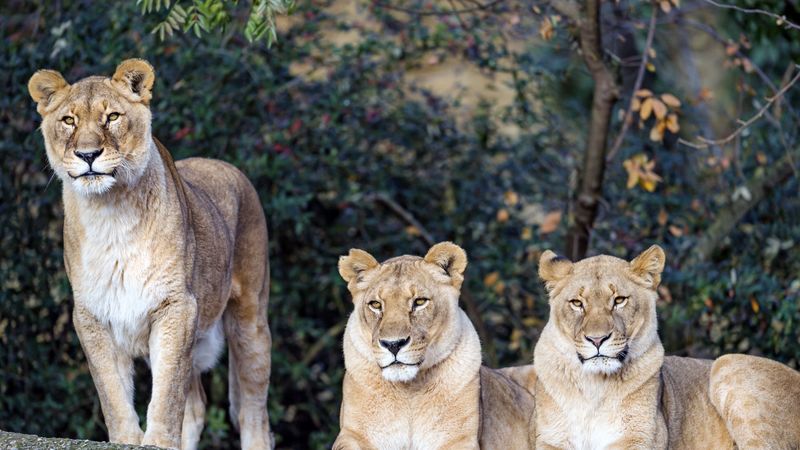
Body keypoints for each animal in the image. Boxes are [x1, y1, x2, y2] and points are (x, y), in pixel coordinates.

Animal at [27, 59, 272, 450]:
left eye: (112, 116)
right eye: (68, 121)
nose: (87, 155)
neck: (110, 212)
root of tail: (225, 166)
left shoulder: (177, 308)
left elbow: (166, 395)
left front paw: (157, 440)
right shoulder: (92, 316)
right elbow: (112, 393)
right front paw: (127, 439)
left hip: (250, 321)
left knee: (252, 411)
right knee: (197, 405)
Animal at [333, 242, 536, 450]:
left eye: (420, 302)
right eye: (375, 305)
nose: (393, 344)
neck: (409, 390)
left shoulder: (460, 439)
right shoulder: (352, 435)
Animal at [531, 245, 800, 449]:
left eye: (619, 300)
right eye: (577, 303)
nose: (597, 340)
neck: (595, 386)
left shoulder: (641, 437)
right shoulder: (550, 439)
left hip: (727, 364)